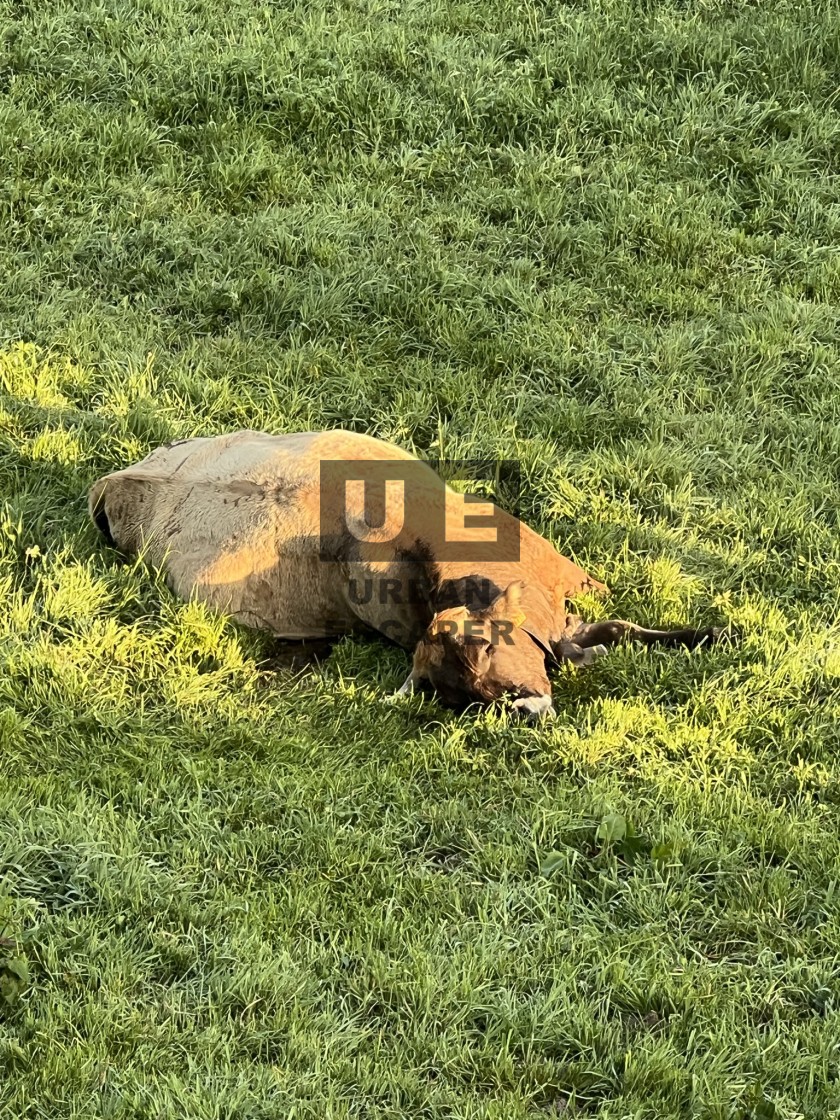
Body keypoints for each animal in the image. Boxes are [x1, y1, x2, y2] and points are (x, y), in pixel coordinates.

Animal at [90, 427, 725, 716]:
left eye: (484, 648)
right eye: (458, 697)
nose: (522, 709)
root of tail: (120, 482)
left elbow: (621, 625)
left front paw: (712, 633)